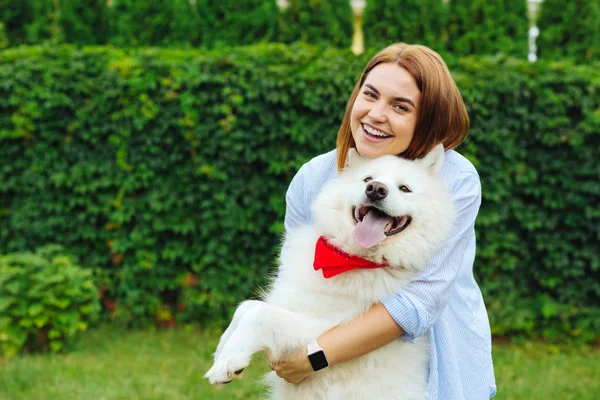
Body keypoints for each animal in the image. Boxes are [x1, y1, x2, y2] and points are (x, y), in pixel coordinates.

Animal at [205, 145, 454, 400]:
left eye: (405, 189)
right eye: (368, 179)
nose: (375, 190)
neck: (349, 258)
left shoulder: (321, 327)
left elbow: (260, 314)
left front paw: (227, 363)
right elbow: (246, 308)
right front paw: (220, 351)